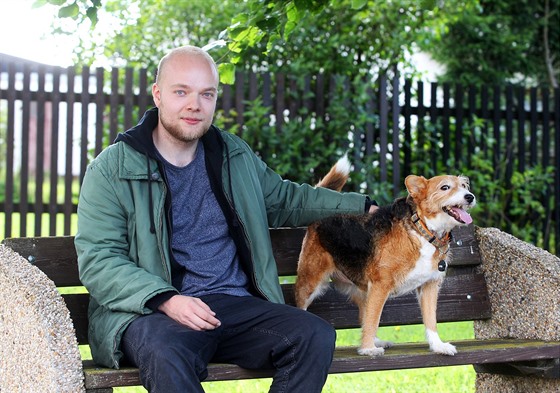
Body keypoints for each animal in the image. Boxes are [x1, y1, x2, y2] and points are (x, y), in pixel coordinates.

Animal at [296, 155, 474, 356]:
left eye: (464, 186)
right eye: (445, 187)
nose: (470, 197)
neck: (421, 230)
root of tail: (320, 217)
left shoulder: (429, 286)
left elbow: (431, 320)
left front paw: (437, 346)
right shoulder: (380, 285)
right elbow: (373, 320)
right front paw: (367, 349)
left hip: (362, 291)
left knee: (364, 317)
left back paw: (377, 341)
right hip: (310, 284)